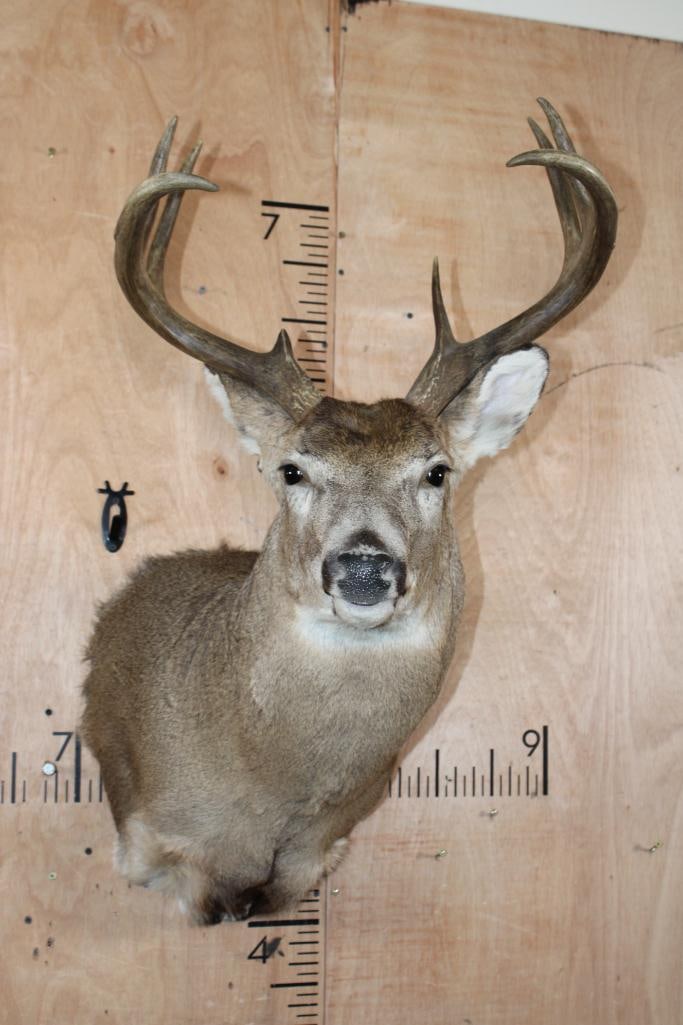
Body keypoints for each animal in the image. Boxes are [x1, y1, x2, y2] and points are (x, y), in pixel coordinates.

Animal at [81, 99, 617, 925]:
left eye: (435, 471)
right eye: (292, 469)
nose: (363, 565)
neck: (268, 795)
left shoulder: (317, 855)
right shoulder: (151, 841)